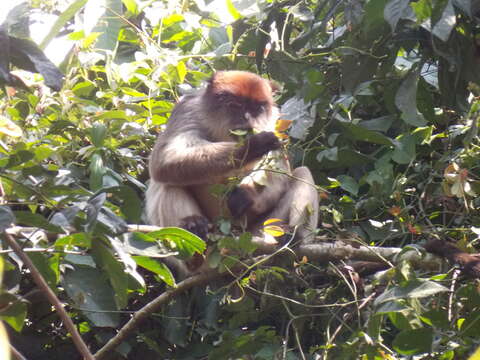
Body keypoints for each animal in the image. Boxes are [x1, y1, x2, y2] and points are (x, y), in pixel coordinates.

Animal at [146, 69, 318, 258]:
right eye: (236, 105)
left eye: (257, 108)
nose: (248, 119)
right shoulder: (187, 109)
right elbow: (163, 161)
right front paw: (252, 146)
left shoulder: (274, 124)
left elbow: (280, 173)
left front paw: (246, 194)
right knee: (168, 183)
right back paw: (193, 233)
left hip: (258, 230)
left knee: (303, 172)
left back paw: (291, 238)